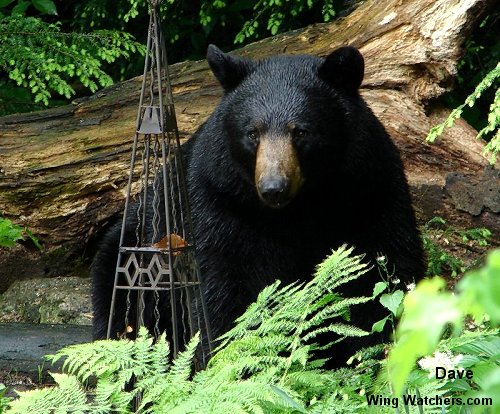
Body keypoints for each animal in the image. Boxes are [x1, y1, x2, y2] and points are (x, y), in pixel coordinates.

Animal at [92, 43, 424, 364]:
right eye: (252, 132)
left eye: (301, 131)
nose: (273, 187)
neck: (300, 208)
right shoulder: (220, 199)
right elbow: (224, 286)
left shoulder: (368, 190)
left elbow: (383, 269)